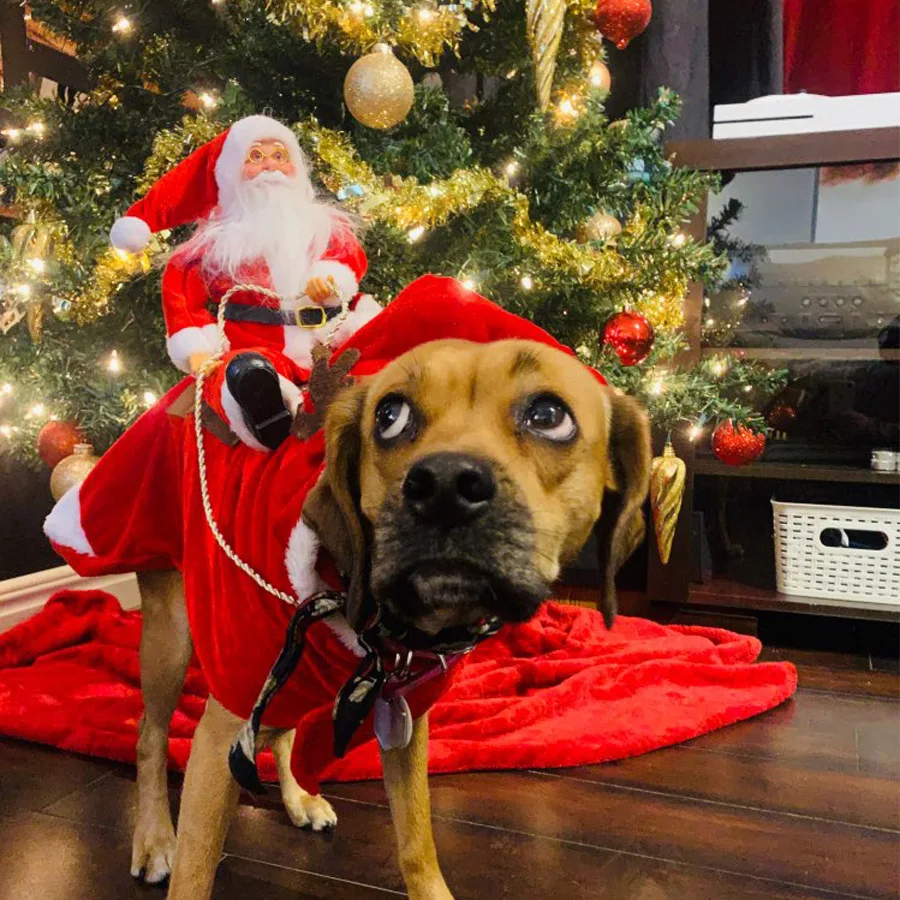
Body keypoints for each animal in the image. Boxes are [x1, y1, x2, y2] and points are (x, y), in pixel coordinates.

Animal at [135, 338, 648, 900]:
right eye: (389, 416)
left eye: (549, 416)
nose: (445, 486)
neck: (382, 633)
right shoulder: (223, 730)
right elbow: (196, 866)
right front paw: (178, 852)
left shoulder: (407, 722)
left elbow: (416, 839)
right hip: (170, 639)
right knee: (149, 736)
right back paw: (154, 838)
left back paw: (298, 799)